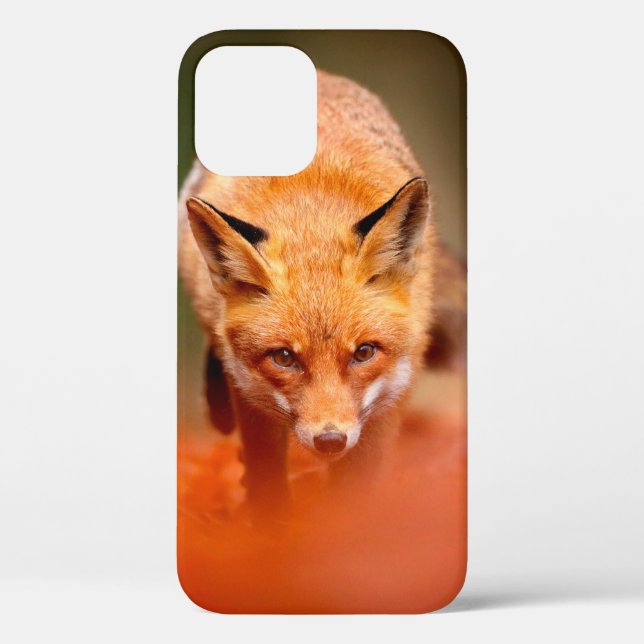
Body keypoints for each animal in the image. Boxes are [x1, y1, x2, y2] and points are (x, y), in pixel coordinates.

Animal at [178, 70, 465, 515]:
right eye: (284, 357)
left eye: (364, 352)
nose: (330, 440)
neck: (312, 215)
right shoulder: (252, 393)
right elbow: (266, 476)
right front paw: (271, 520)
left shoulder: (390, 396)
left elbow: (355, 490)